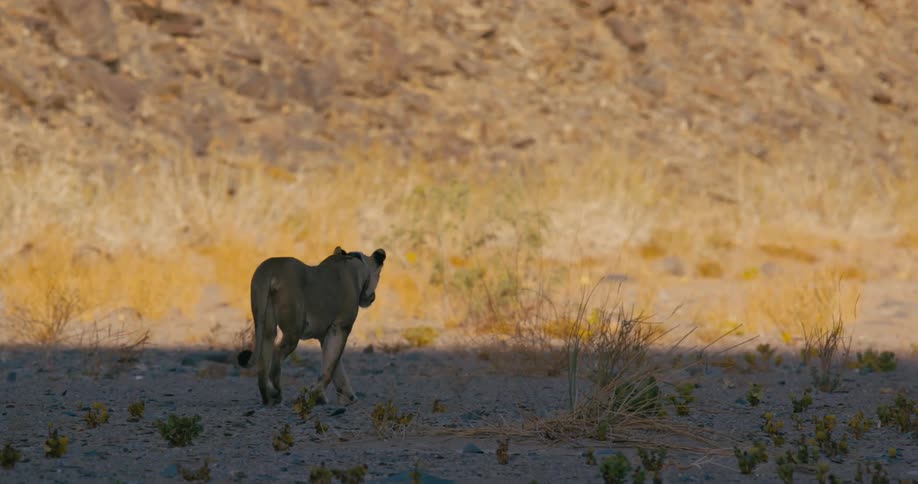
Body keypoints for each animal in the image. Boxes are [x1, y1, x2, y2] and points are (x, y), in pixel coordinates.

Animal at [236, 246, 386, 406]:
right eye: (379, 275)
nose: (372, 297)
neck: (357, 263)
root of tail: (271, 266)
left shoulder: (325, 334)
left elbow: (335, 366)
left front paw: (345, 397)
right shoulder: (341, 327)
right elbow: (331, 367)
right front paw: (316, 394)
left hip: (265, 325)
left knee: (263, 360)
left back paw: (269, 397)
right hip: (294, 328)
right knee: (276, 353)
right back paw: (277, 391)